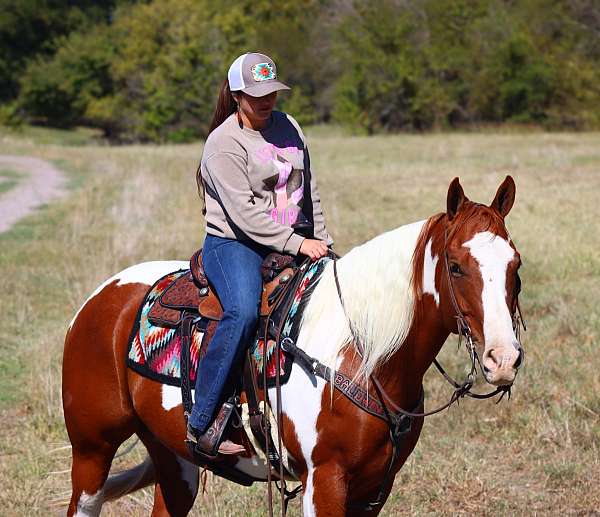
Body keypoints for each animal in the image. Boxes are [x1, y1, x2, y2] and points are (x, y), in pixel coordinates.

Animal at [59, 175, 520, 512]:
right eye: (456, 267)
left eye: (515, 265)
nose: (503, 359)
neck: (363, 357)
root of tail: (101, 296)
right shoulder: (325, 481)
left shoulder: (376, 488)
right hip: (91, 450)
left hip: (175, 458)